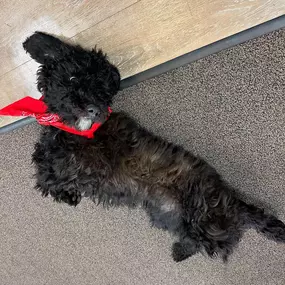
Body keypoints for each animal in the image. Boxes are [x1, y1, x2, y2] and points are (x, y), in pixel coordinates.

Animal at [22, 32, 284, 260]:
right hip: (174, 219)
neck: (75, 129)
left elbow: (48, 170)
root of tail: (233, 202)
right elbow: (48, 165)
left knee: (217, 241)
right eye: (73, 78)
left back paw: (181, 251)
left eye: (102, 90)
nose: (94, 109)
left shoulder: (86, 163)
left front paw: (62, 189)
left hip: (205, 222)